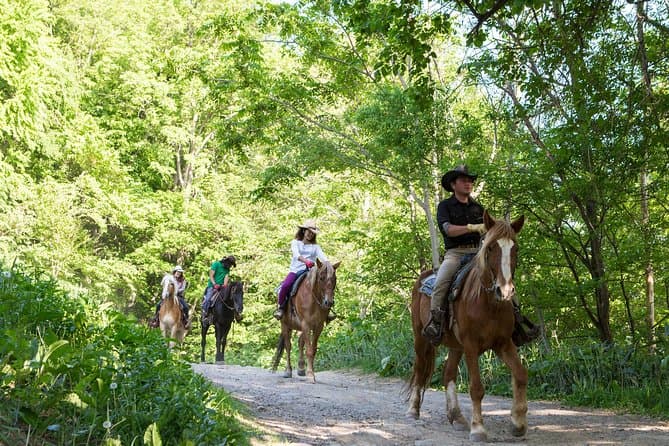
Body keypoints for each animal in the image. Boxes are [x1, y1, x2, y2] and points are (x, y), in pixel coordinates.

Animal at [405, 211, 527, 442]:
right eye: (491, 247)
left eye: (515, 247)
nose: (505, 291)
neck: (488, 303)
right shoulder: (471, 346)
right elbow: (476, 388)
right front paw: (478, 429)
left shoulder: (504, 344)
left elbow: (520, 374)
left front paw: (518, 423)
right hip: (420, 337)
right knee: (419, 369)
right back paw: (413, 410)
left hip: (455, 345)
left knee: (448, 374)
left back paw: (457, 417)